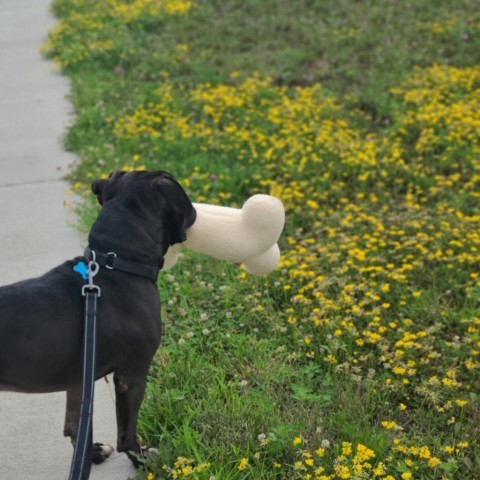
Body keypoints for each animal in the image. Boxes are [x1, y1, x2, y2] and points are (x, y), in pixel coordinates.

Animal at [0, 169, 197, 464]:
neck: (117, 262)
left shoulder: (78, 376)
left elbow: (74, 424)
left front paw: (90, 453)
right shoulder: (132, 375)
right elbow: (127, 430)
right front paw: (141, 458)